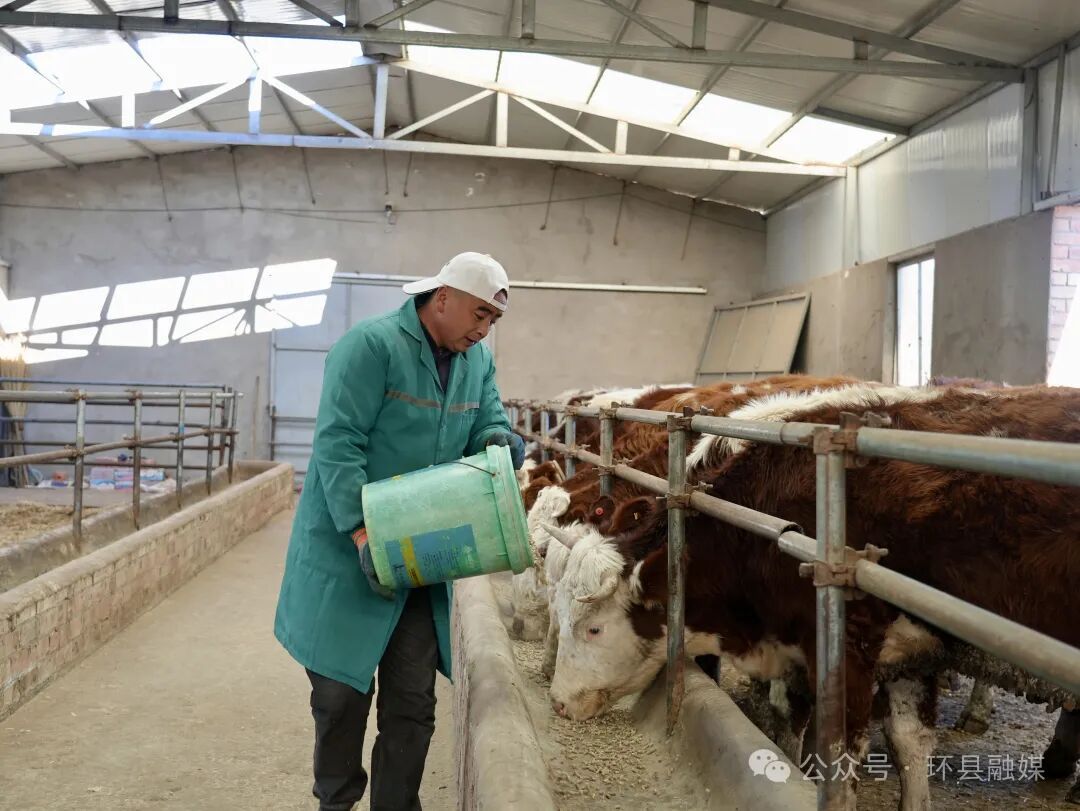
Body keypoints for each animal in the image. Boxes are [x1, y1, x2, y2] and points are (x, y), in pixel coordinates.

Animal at [544, 383, 1080, 809]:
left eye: (593, 628)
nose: (557, 703)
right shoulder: (910, 648)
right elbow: (908, 743)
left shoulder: (845, 642)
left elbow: (836, 754)